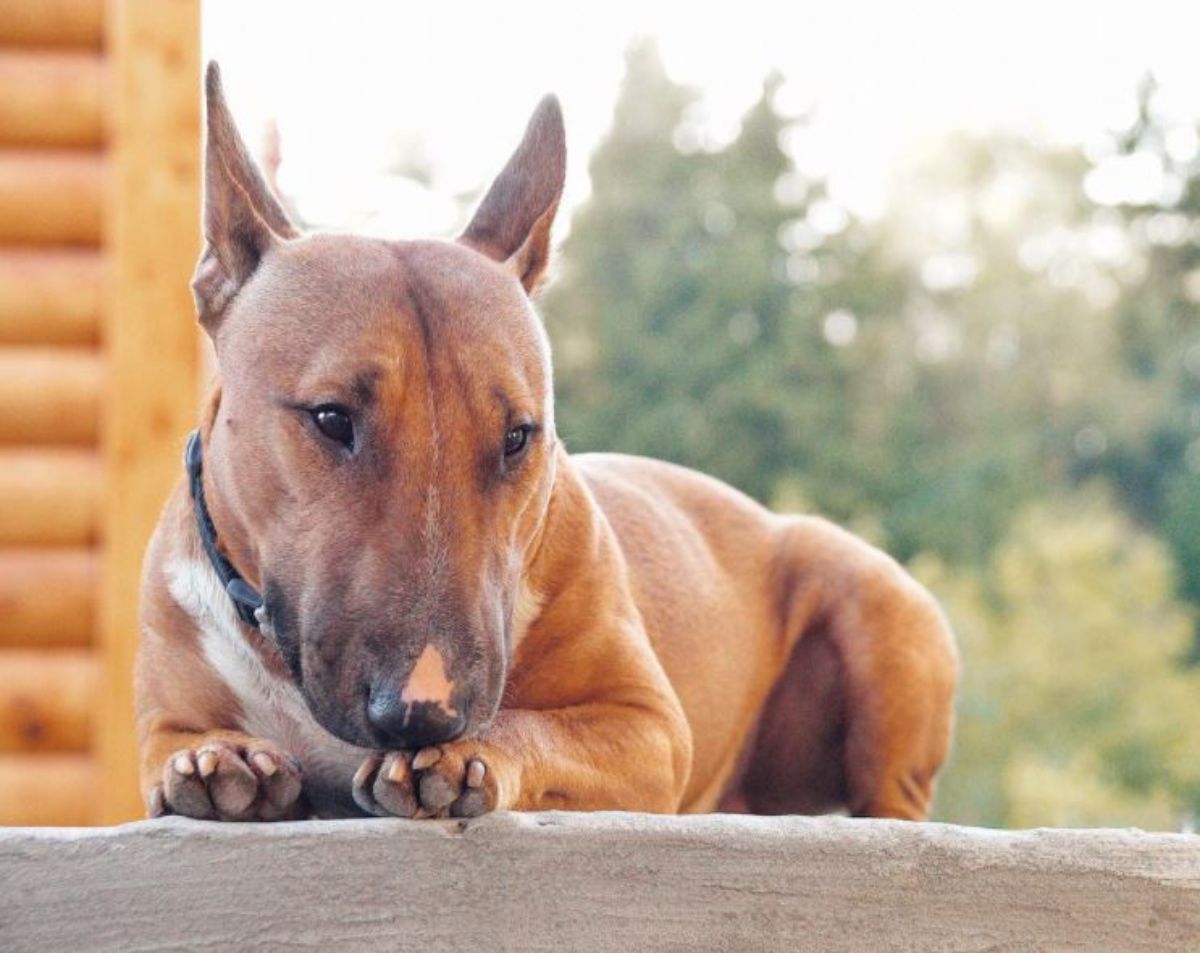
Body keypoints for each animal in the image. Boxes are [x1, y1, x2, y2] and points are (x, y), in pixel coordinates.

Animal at [133, 66, 955, 820]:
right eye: (332, 418)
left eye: (518, 437)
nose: (425, 715)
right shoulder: (163, 706)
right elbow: (167, 741)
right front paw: (216, 759)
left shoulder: (650, 726)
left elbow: (537, 727)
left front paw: (465, 755)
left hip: (874, 607)